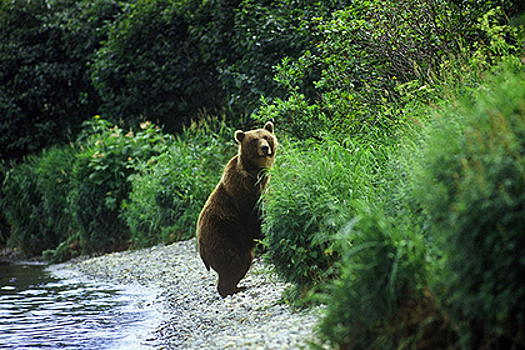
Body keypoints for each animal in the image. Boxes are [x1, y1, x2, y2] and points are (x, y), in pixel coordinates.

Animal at [196, 121, 278, 296]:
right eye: (254, 140)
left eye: (266, 136)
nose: (265, 148)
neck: (256, 172)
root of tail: (201, 248)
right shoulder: (244, 191)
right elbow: (255, 217)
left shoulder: (263, 186)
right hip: (225, 235)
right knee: (237, 261)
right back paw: (232, 289)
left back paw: (237, 286)